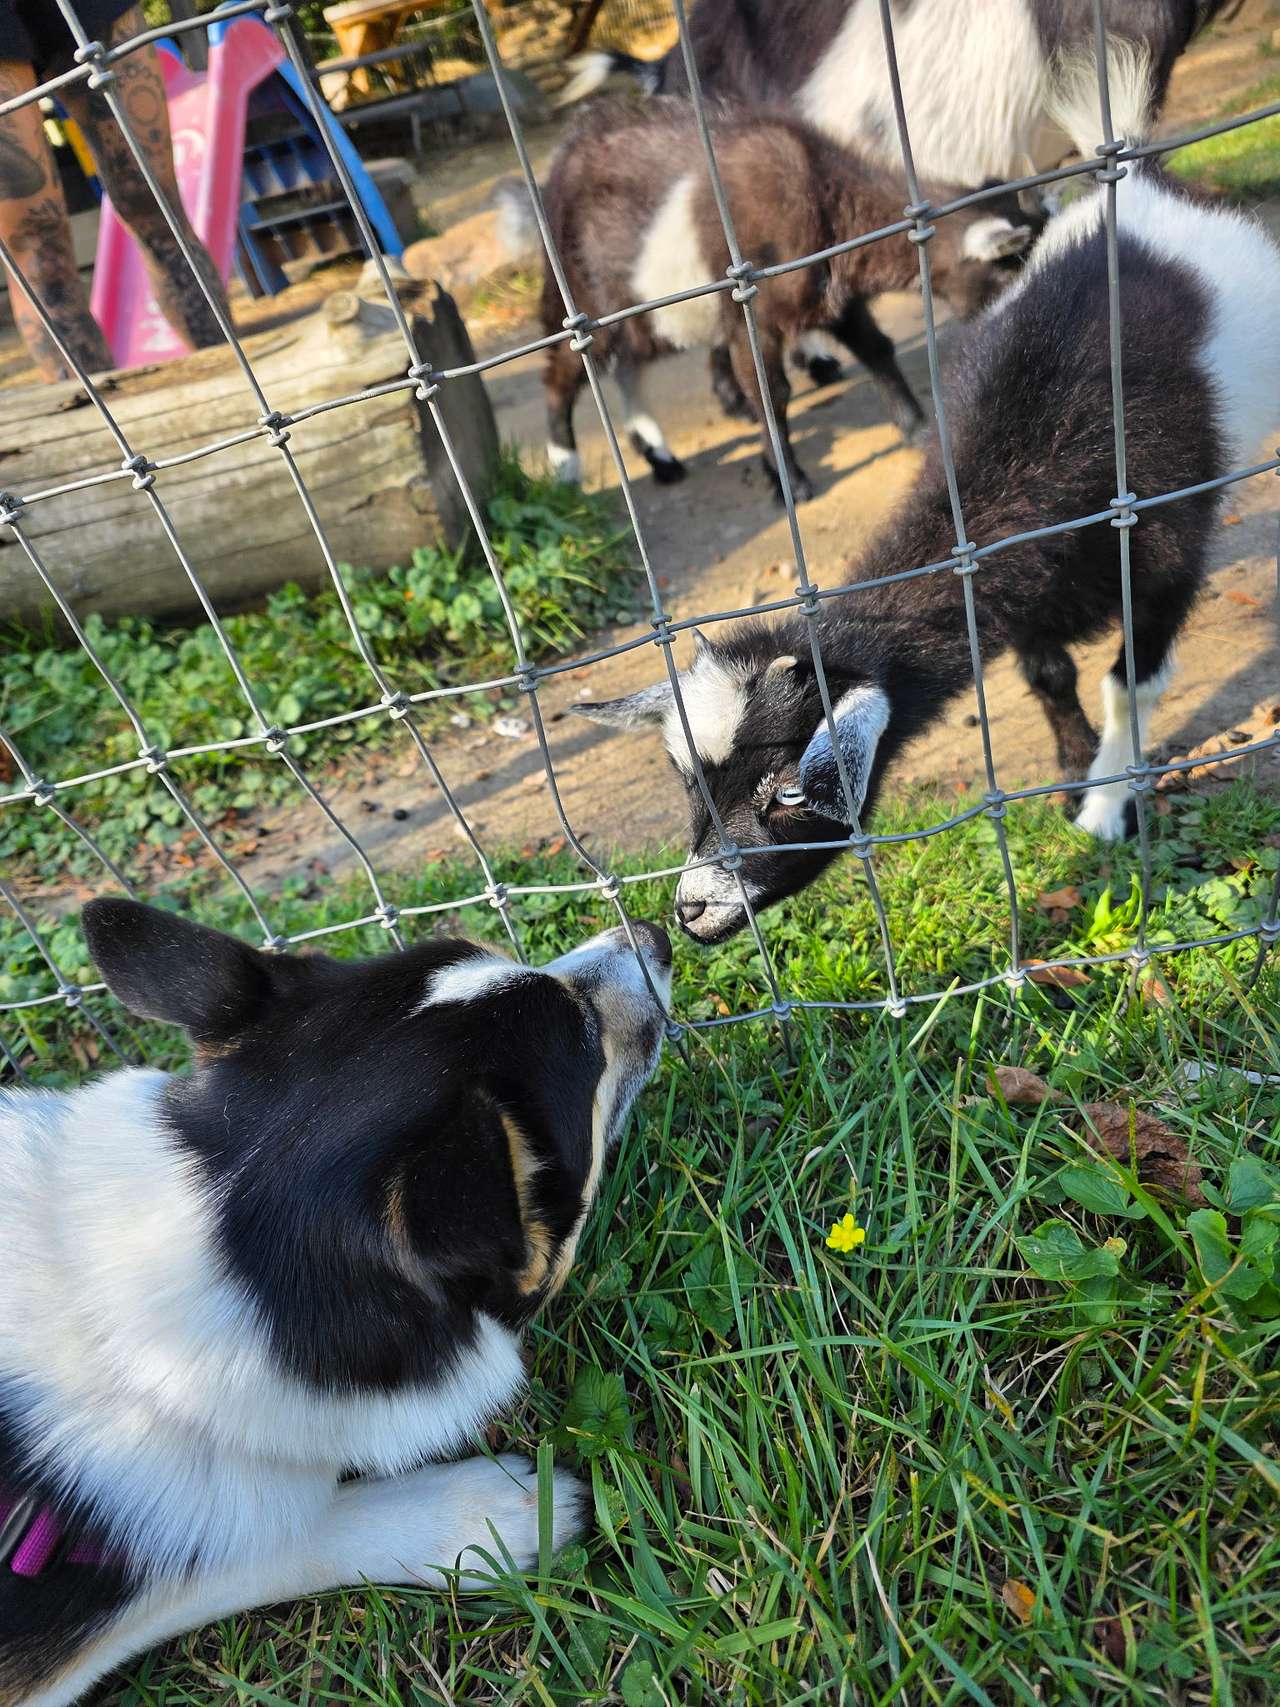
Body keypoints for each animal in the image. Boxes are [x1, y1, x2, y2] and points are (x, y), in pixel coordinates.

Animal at [534, 98, 1033, 502]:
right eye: (1009, 270)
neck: (823, 197)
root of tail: (559, 170)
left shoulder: (835, 299)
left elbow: (877, 349)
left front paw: (920, 430)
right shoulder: (749, 320)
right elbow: (772, 396)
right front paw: (789, 483)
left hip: (642, 314)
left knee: (628, 367)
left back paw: (659, 455)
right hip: (589, 298)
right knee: (567, 367)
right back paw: (565, 463)